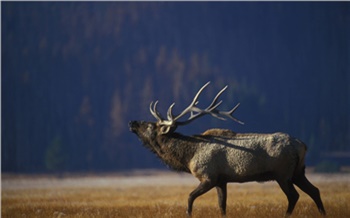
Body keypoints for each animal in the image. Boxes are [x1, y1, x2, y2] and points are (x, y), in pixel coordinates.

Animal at [129, 81, 326, 216]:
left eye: (150, 126)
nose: (132, 122)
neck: (188, 156)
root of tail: (303, 145)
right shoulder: (221, 180)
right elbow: (222, 206)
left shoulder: (208, 176)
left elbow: (190, 197)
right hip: (298, 172)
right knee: (315, 191)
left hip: (282, 174)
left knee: (294, 196)